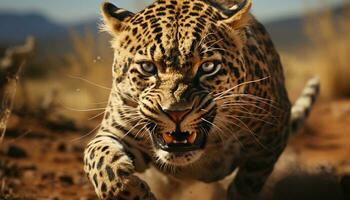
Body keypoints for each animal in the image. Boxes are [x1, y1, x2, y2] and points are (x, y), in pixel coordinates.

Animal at [82, 0, 320, 199]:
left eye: (208, 67)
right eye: (148, 67)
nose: (176, 112)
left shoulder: (270, 141)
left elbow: (247, 185)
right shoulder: (114, 130)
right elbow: (100, 161)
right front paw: (132, 190)